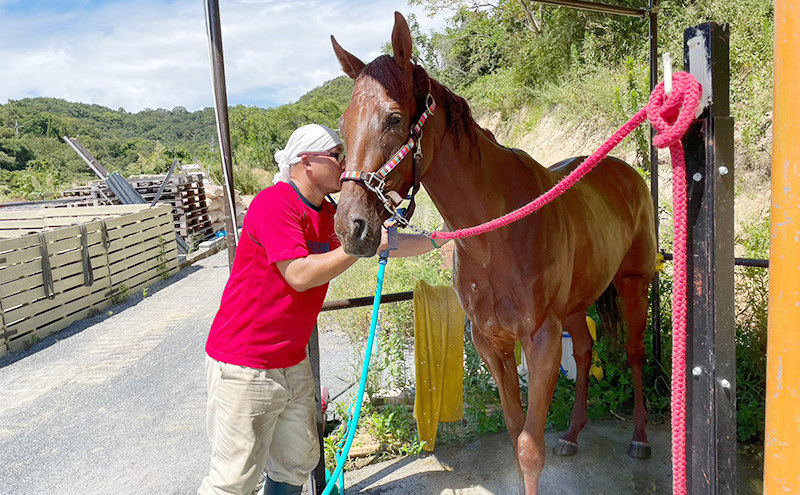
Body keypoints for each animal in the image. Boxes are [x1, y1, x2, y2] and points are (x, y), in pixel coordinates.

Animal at [328, 12, 652, 495]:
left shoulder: (540, 341)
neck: (496, 236)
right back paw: (573, 434)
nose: (351, 227)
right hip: (576, 306)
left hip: (635, 285)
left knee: (633, 352)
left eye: (394, 118)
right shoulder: (490, 342)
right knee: (585, 351)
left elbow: (529, 450)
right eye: (345, 122)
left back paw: (640, 437)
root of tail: (624, 171)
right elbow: (516, 433)